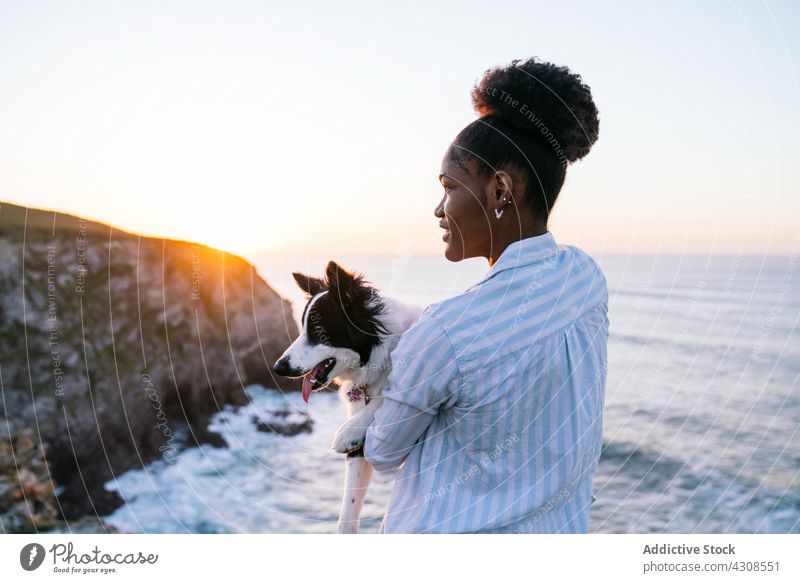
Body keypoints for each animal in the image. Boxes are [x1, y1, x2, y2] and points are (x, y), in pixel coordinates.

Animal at [274, 260, 424, 532]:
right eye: (302, 328)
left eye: (318, 330)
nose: (278, 367)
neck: (377, 357)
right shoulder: (360, 451)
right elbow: (349, 505)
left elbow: (387, 397)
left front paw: (347, 431)